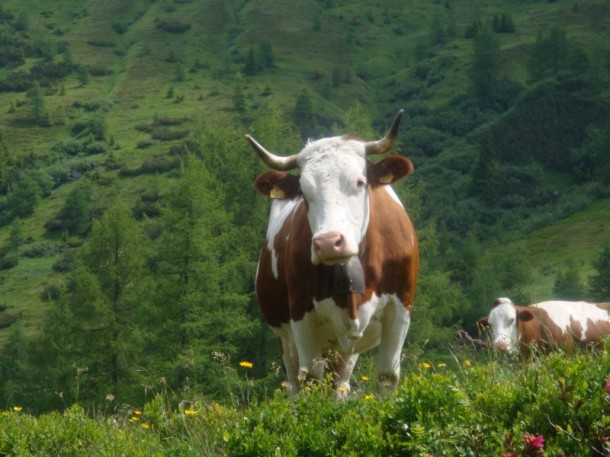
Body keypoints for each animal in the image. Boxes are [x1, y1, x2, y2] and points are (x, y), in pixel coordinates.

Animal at [243, 111, 418, 396]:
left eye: (360, 182)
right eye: (303, 193)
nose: (327, 243)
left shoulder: (401, 305)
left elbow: (387, 376)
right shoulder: (300, 313)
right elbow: (311, 380)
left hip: (344, 350)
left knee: (339, 384)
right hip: (288, 339)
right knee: (296, 382)